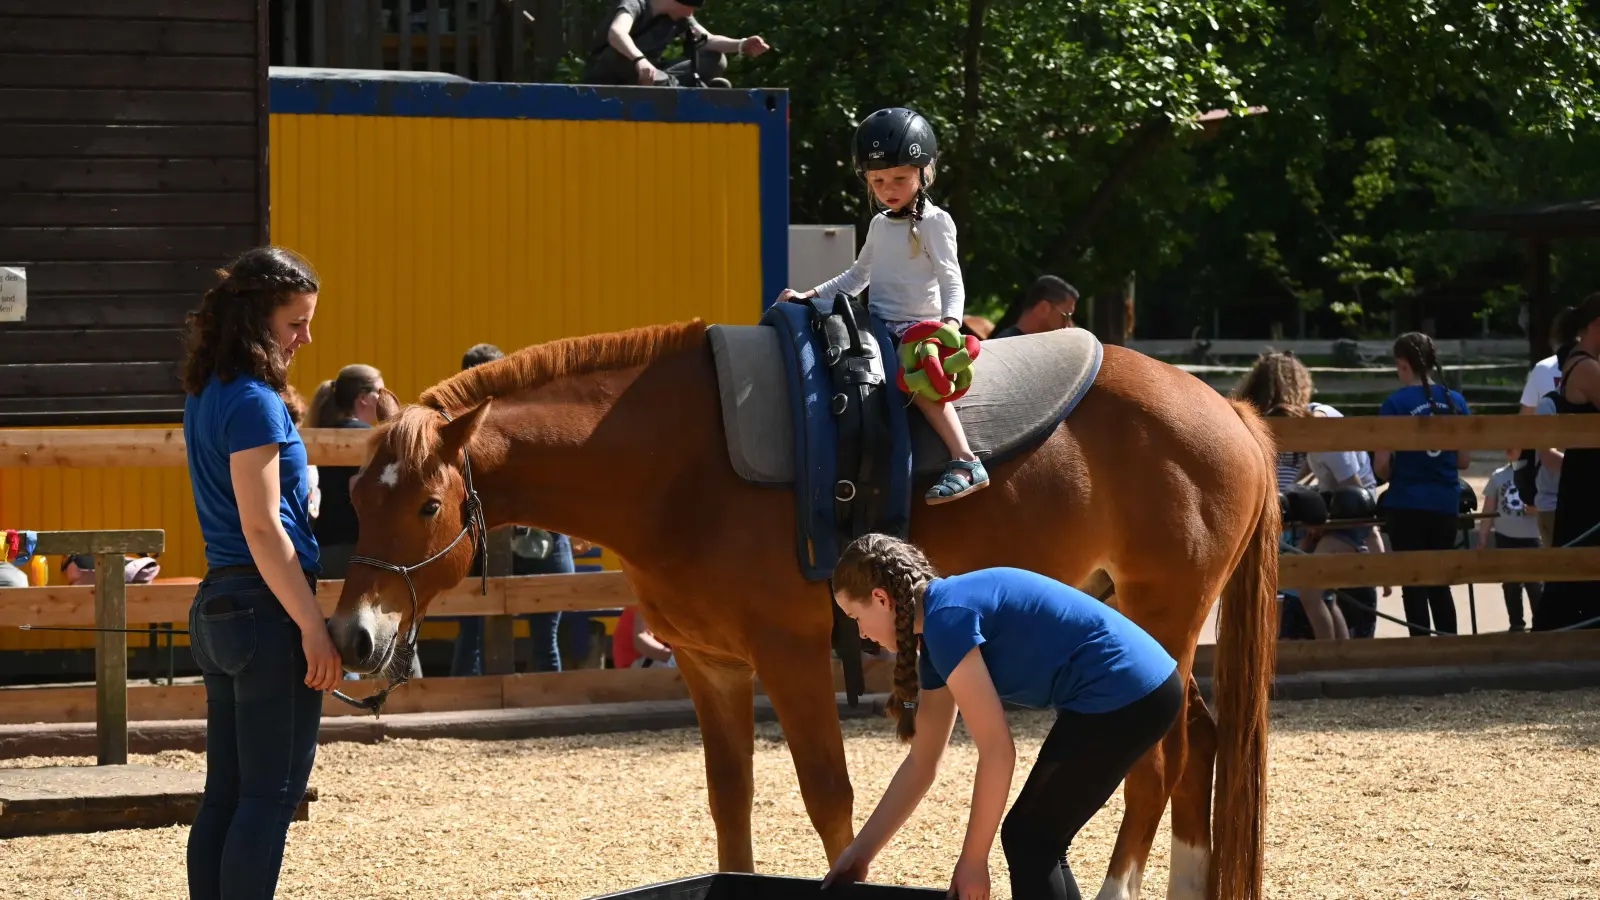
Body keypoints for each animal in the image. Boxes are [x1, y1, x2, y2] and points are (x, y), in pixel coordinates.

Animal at [324, 317, 1273, 896]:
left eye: (425, 505)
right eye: (357, 498)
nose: (355, 635)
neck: (679, 465)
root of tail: (1224, 406)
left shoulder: (789, 656)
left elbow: (828, 796)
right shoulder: (711, 667)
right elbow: (731, 798)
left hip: (1163, 619)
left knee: (1163, 757)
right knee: (1199, 745)